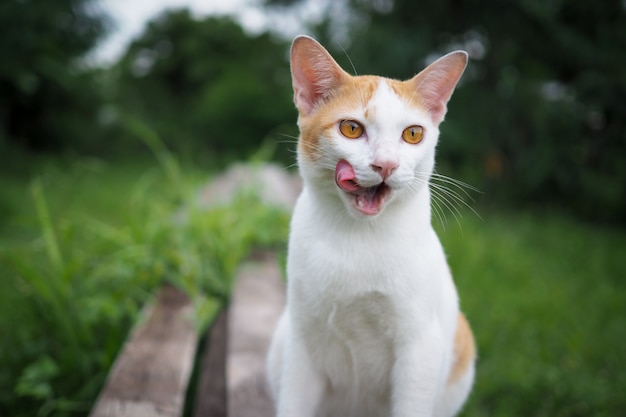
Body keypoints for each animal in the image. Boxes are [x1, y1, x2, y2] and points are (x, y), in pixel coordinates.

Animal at [266, 35, 476, 416]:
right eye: (351, 129)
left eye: (413, 134)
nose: (386, 164)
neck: (360, 236)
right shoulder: (302, 341)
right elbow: (293, 402)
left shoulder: (420, 349)